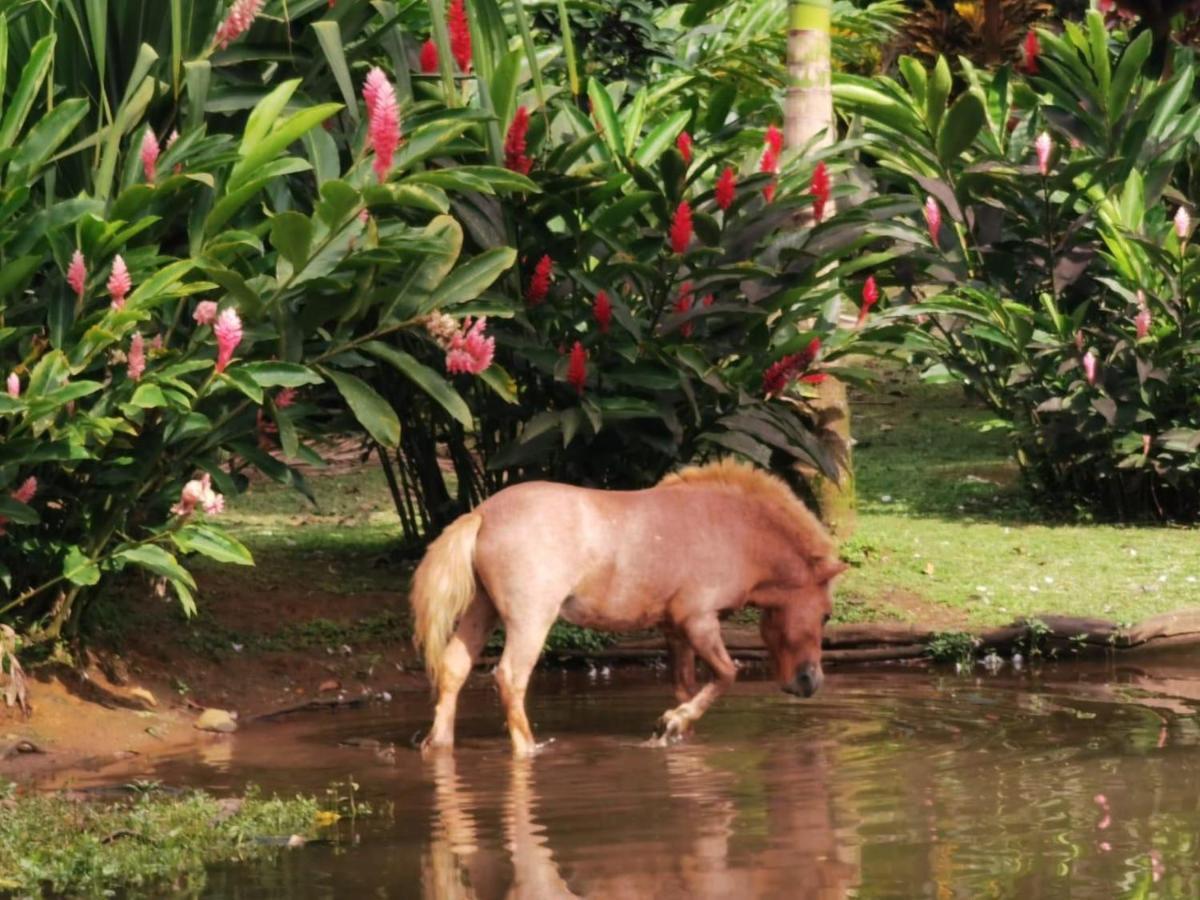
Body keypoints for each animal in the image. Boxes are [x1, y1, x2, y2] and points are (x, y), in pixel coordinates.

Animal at [408, 458, 849, 753]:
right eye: (826, 614)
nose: (811, 682)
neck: (738, 532)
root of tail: (482, 514)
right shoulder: (699, 621)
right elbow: (726, 674)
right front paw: (676, 720)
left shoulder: (675, 631)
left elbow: (685, 686)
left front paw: (675, 729)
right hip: (530, 619)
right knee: (511, 677)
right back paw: (528, 748)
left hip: (482, 610)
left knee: (453, 668)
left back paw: (438, 743)